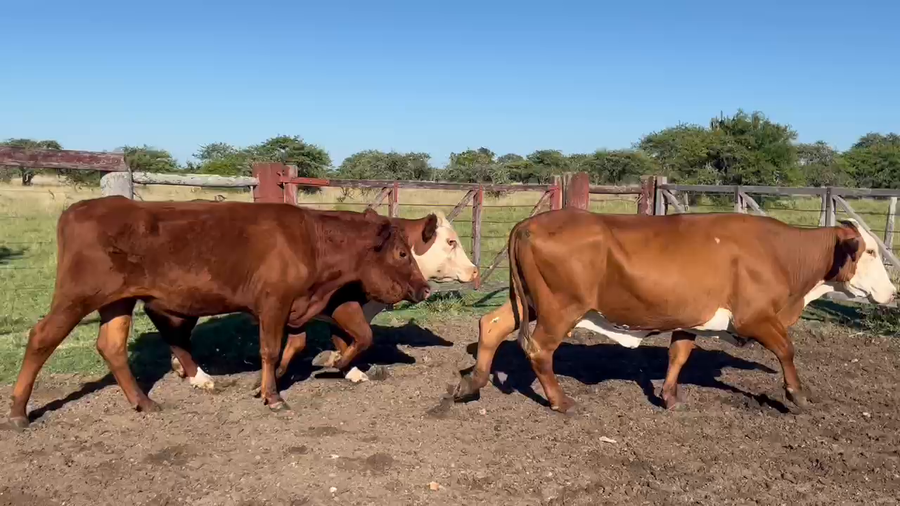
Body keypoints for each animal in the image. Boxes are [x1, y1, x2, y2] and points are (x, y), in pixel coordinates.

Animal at [6, 196, 431, 430]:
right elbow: (270, 350)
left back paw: (145, 402)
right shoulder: (274, 303)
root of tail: (80, 208)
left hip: (119, 301)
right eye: (401, 253)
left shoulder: (300, 306)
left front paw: (267, 385)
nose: (424, 287)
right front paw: (273, 396)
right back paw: (18, 411)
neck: (312, 242)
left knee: (112, 346)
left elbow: (299, 346)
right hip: (76, 296)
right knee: (42, 337)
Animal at [165, 210, 479, 389]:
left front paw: (346, 366)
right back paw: (194, 374)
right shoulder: (343, 306)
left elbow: (343, 338)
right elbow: (358, 338)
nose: (474, 270)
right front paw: (342, 364)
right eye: (451, 241)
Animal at [453, 209, 896, 413]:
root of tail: (529, 223)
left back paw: (472, 383)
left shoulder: (690, 318)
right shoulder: (755, 317)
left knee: (491, 325)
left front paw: (668, 396)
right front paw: (797, 393)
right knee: (540, 350)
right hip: (561, 309)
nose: (892, 291)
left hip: (526, 302)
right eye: (871, 252)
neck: (779, 253)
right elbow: (787, 349)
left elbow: (679, 354)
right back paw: (562, 402)